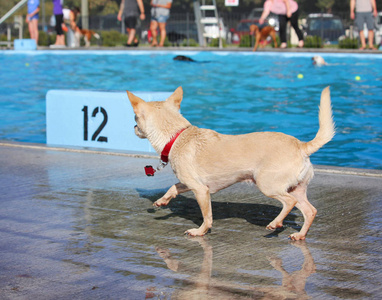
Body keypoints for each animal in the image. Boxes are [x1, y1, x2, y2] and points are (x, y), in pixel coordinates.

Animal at [127, 86, 334, 239]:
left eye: (135, 117)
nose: (134, 127)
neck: (177, 136)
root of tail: (301, 146)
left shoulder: (201, 190)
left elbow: (207, 216)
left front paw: (200, 231)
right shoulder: (191, 184)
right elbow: (173, 187)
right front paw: (162, 201)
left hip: (268, 185)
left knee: (289, 202)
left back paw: (275, 223)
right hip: (296, 188)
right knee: (310, 210)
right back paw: (300, 235)